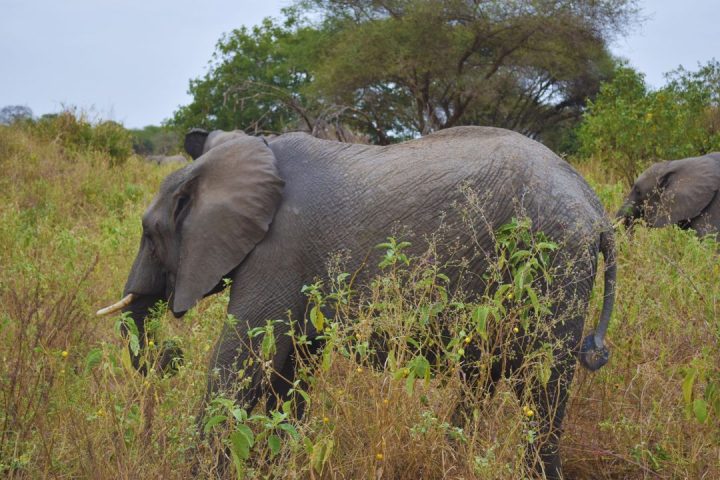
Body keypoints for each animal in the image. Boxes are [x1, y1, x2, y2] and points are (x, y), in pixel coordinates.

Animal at [97, 126, 617, 479]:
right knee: (485, 377)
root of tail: (596, 210)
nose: (170, 353)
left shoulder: (278, 251)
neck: (253, 151)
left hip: (555, 258)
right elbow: (292, 367)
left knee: (542, 385)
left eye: (150, 232)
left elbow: (241, 359)